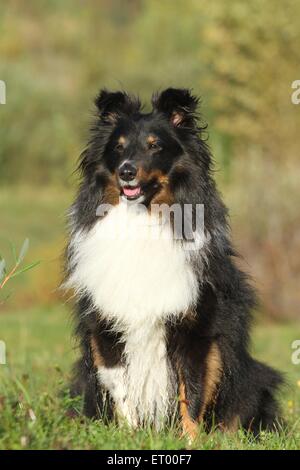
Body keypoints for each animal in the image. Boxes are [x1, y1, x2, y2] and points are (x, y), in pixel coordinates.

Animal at [64, 88, 282, 440]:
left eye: (155, 146)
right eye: (118, 147)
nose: (126, 171)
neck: (142, 218)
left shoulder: (197, 330)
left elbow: (191, 392)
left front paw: (191, 440)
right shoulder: (106, 328)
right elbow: (122, 391)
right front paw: (129, 437)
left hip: (252, 381)